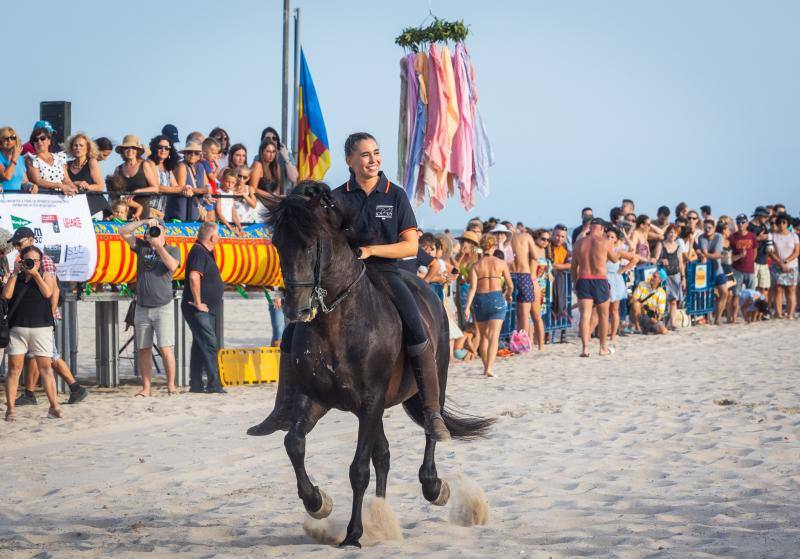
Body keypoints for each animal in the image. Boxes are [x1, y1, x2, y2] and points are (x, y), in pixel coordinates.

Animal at [264, 183, 494, 548]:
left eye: (310, 242)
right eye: (277, 243)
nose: (295, 309)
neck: (337, 324)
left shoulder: (370, 401)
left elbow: (358, 469)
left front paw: (353, 534)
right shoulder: (314, 398)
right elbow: (294, 444)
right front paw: (317, 502)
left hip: (433, 378)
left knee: (430, 425)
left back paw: (432, 486)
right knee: (383, 456)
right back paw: (380, 514)